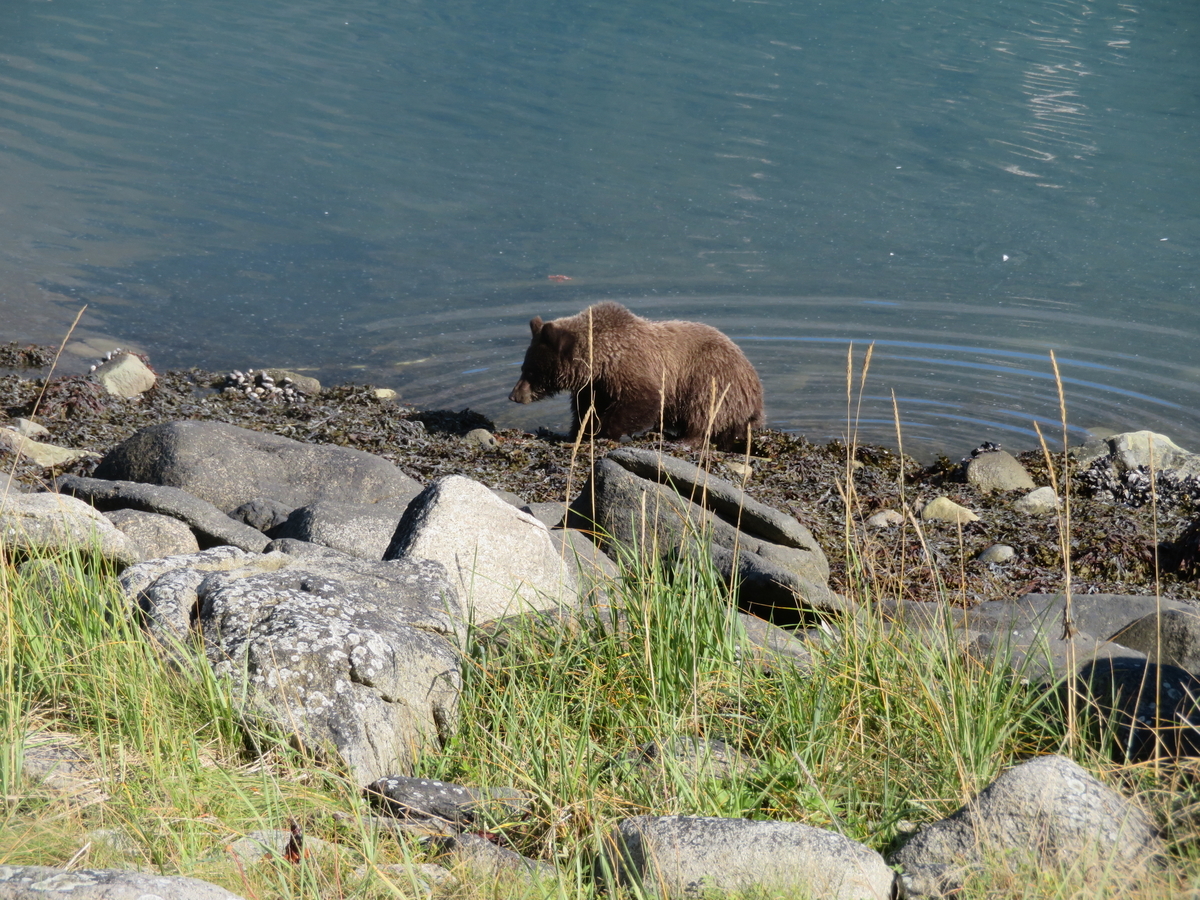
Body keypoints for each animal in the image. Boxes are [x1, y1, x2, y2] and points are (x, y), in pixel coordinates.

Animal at [511, 301, 763, 451]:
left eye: (530, 370)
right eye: (524, 367)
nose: (514, 395)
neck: (601, 360)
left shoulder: (632, 368)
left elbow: (644, 401)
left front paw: (605, 431)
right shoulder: (596, 385)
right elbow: (586, 410)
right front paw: (578, 432)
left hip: (712, 376)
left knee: (703, 411)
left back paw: (685, 439)